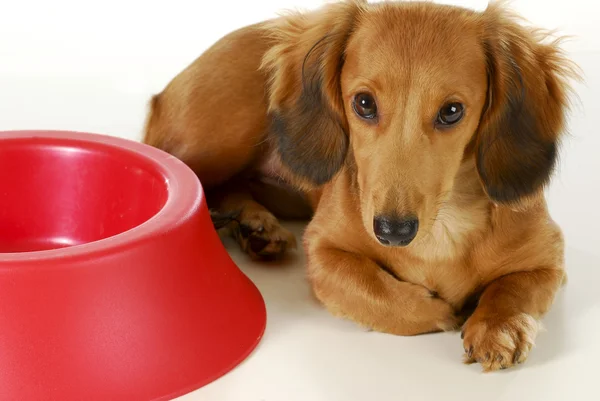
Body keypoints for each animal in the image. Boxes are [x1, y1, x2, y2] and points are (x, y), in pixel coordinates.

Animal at [143, 0, 580, 370]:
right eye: (364, 103)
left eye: (452, 111)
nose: (392, 231)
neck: (444, 226)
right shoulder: (323, 251)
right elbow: (375, 290)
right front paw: (441, 311)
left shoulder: (549, 259)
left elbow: (513, 290)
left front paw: (498, 326)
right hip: (220, 135)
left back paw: (256, 226)